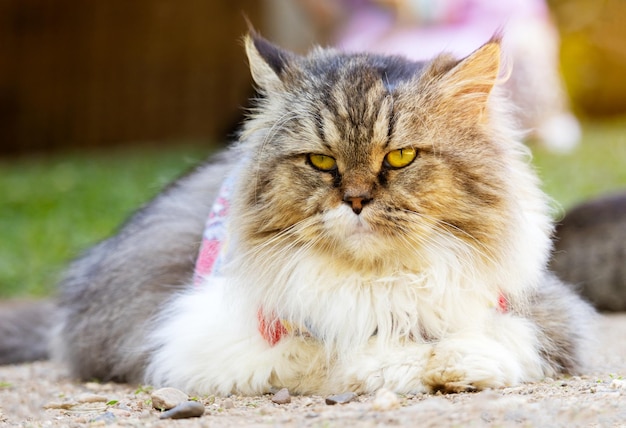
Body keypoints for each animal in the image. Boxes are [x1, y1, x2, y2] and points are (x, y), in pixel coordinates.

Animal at [2, 32, 592, 394]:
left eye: (400, 157)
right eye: (321, 161)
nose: (356, 201)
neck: (374, 281)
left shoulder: (546, 318)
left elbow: (488, 343)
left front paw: (455, 365)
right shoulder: (204, 339)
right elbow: (348, 352)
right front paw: (408, 368)